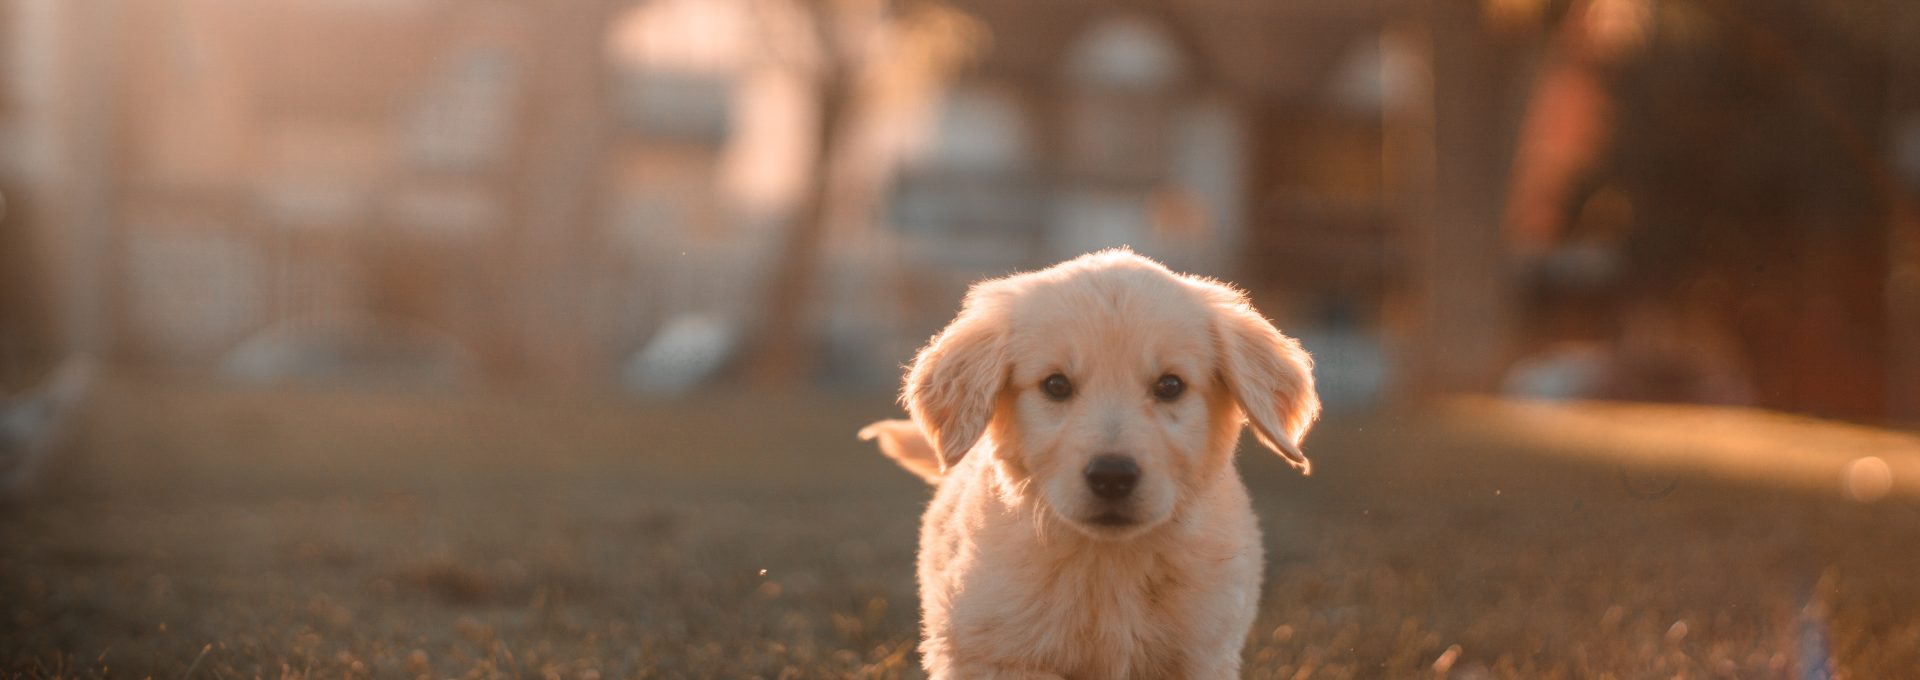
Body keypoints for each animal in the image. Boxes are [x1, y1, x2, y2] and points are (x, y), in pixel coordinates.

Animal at [860, 251, 1320, 680]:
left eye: (1170, 386)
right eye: (1056, 385)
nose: (1112, 477)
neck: (1108, 562)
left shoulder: (1202, 650)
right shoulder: (995, 653)